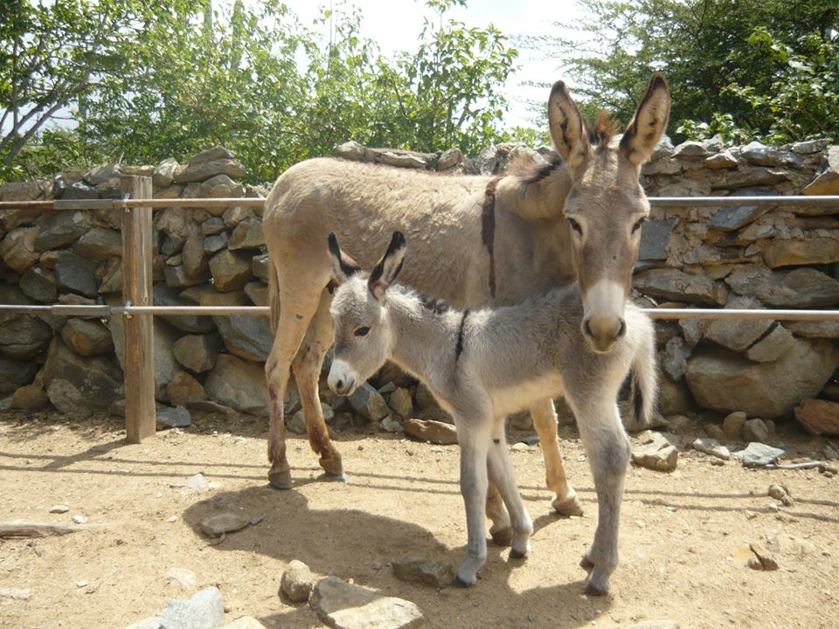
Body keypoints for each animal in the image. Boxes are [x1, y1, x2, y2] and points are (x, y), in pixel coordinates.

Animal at [324, 232, 660, 592]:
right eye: (333, 324)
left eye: (362, 330)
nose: (335, 382)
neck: (449, 345)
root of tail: (634, 316)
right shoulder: (493, 420)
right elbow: (503, 472)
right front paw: (520, 539)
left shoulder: (470, 418)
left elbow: (472, 484)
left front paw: (471, 564)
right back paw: (593, 556)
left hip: (589, 394)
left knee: (612, 457)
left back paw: (601, 572)